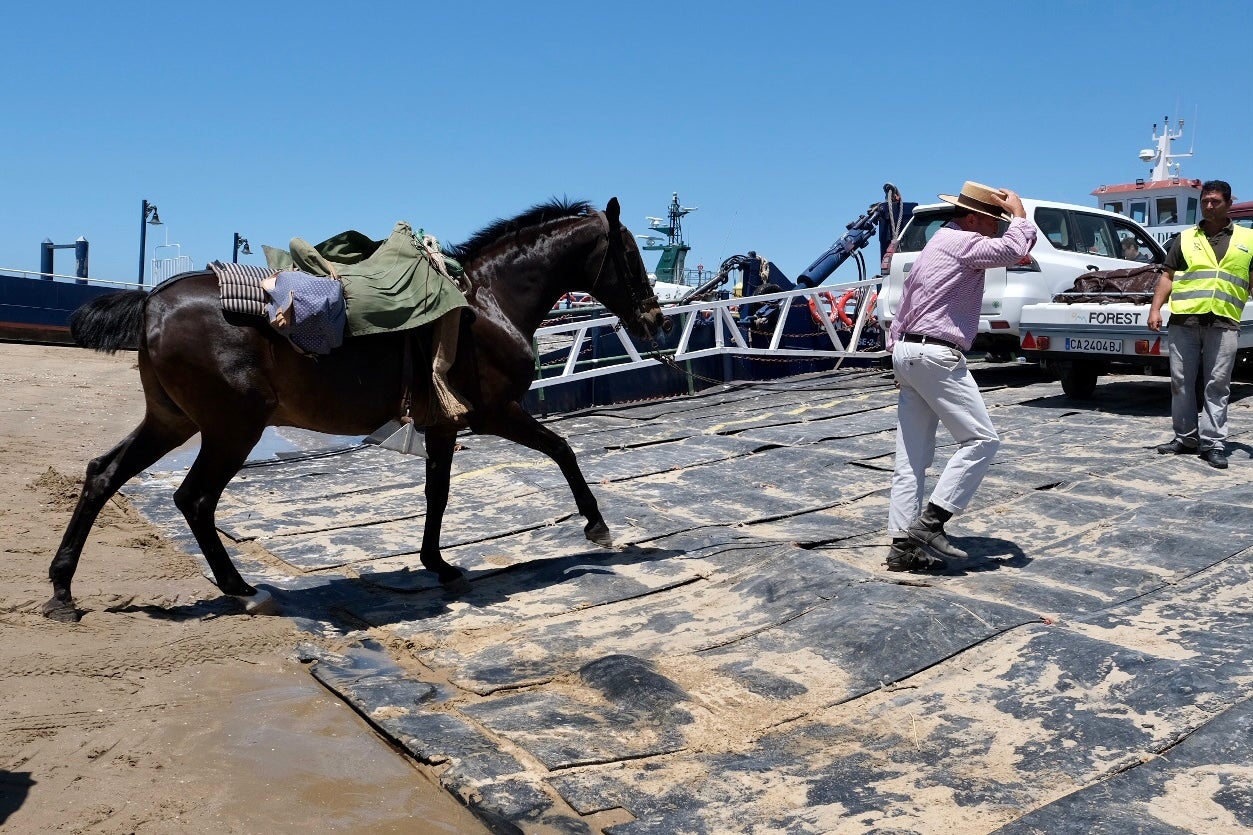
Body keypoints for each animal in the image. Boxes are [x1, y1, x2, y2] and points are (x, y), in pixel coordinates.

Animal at [41, 196, 666, 616]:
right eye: (633, 255)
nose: (656, 319)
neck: (487, 302)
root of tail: (153, 300)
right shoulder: (496, 412)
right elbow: (563, 450)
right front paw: (596, 524)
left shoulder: (443, 423)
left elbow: (438, 492)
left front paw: (437, 563)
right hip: (231, 429)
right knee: (193, 499)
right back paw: (241, 589)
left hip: (172, 421)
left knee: (103, 475)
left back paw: (63, 588)